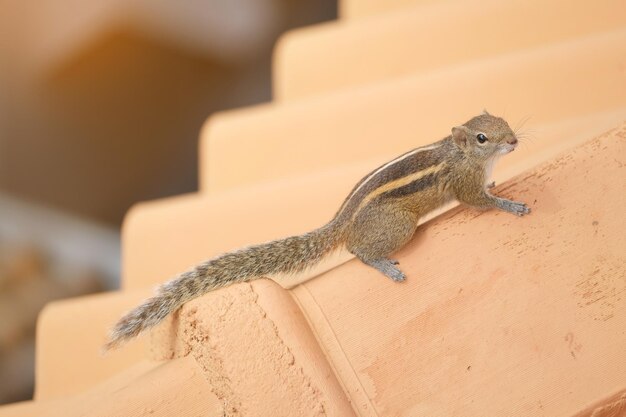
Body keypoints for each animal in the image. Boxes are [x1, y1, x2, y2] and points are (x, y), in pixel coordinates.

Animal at [102, 109, 528, 348]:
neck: (462, 154)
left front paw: (496, 186)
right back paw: (383, 265)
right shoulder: (462, 185)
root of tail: (340, 223)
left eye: (505, 122)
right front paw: (509, 204)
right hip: (400, 226)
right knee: (358, 252)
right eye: (483, 137)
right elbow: (477, 201)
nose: (514, 140)